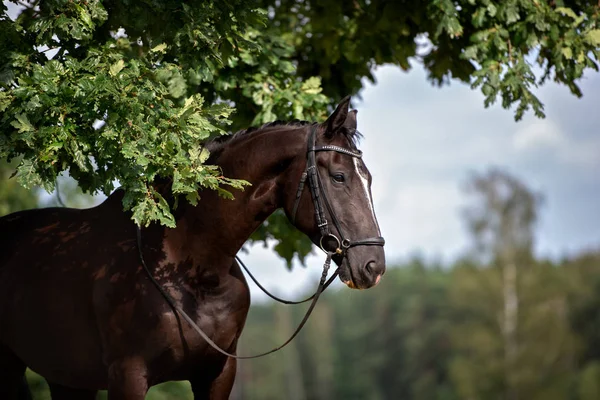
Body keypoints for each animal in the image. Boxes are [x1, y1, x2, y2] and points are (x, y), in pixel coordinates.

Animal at [0, 97, 384, 400]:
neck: (191, 266)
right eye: (339, 177)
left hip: (68, 380)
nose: (373, 266)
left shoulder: (217, 375)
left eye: (368, 178)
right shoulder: (127, 377)